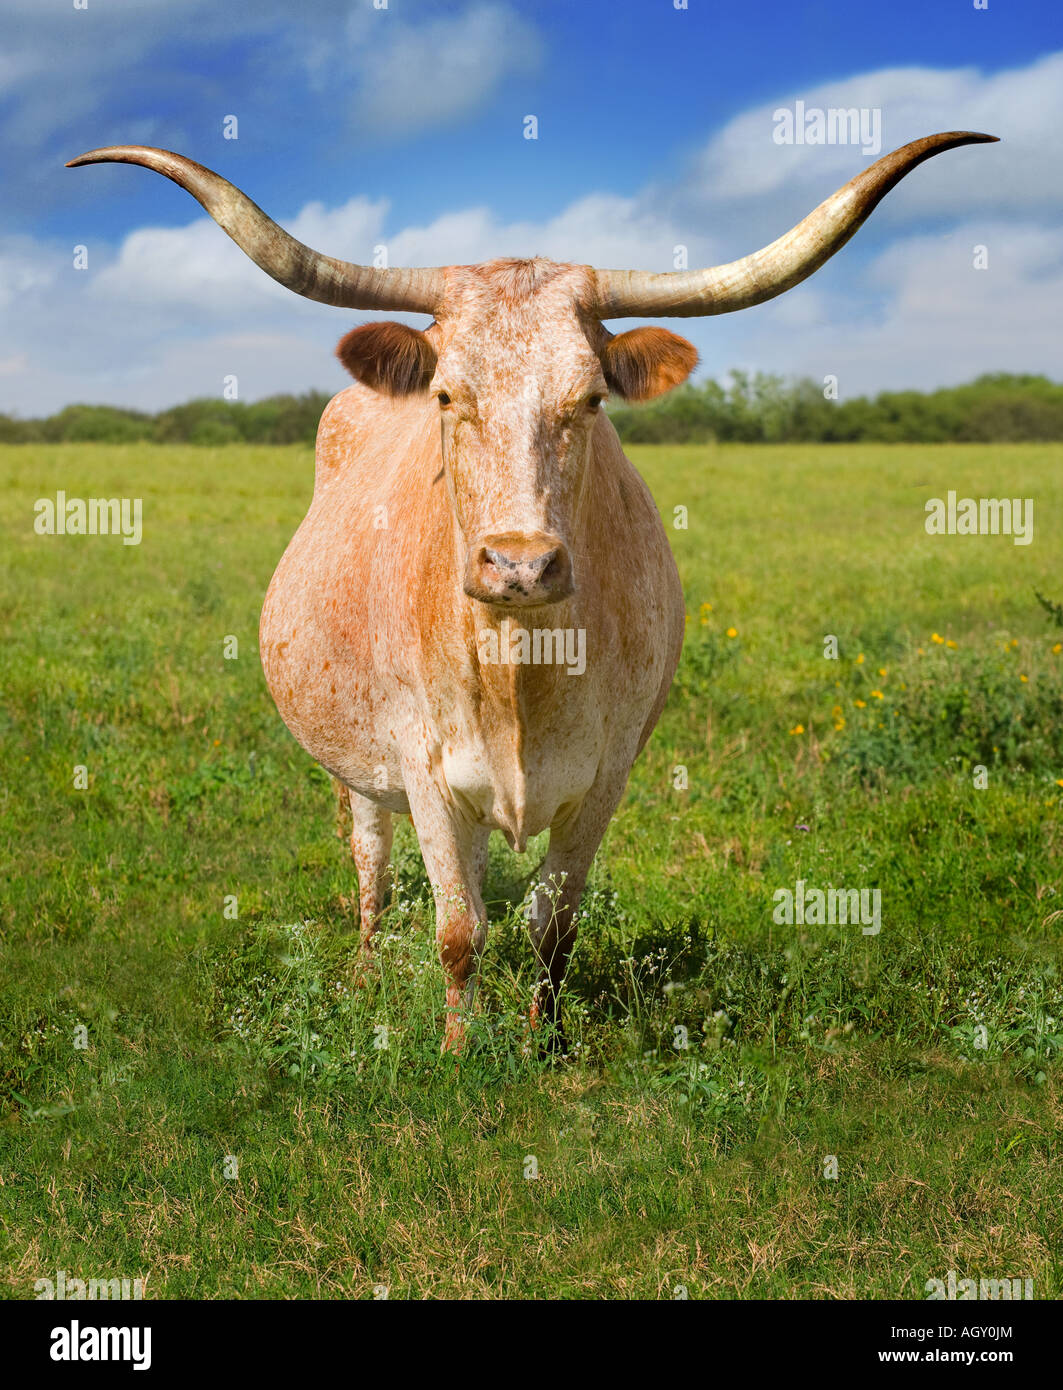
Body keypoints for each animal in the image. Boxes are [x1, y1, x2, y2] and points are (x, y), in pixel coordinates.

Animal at [69, 131, 996, 1051]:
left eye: (589, 398)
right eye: (448, 394)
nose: (517, 566)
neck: (520, 666)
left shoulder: (607, 775)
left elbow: (552, 923)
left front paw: (536, 1044)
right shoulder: (421, 766)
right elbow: (456, 929)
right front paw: (454, 1052)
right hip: (356, 773)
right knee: (372, 868)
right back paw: (365, 978)